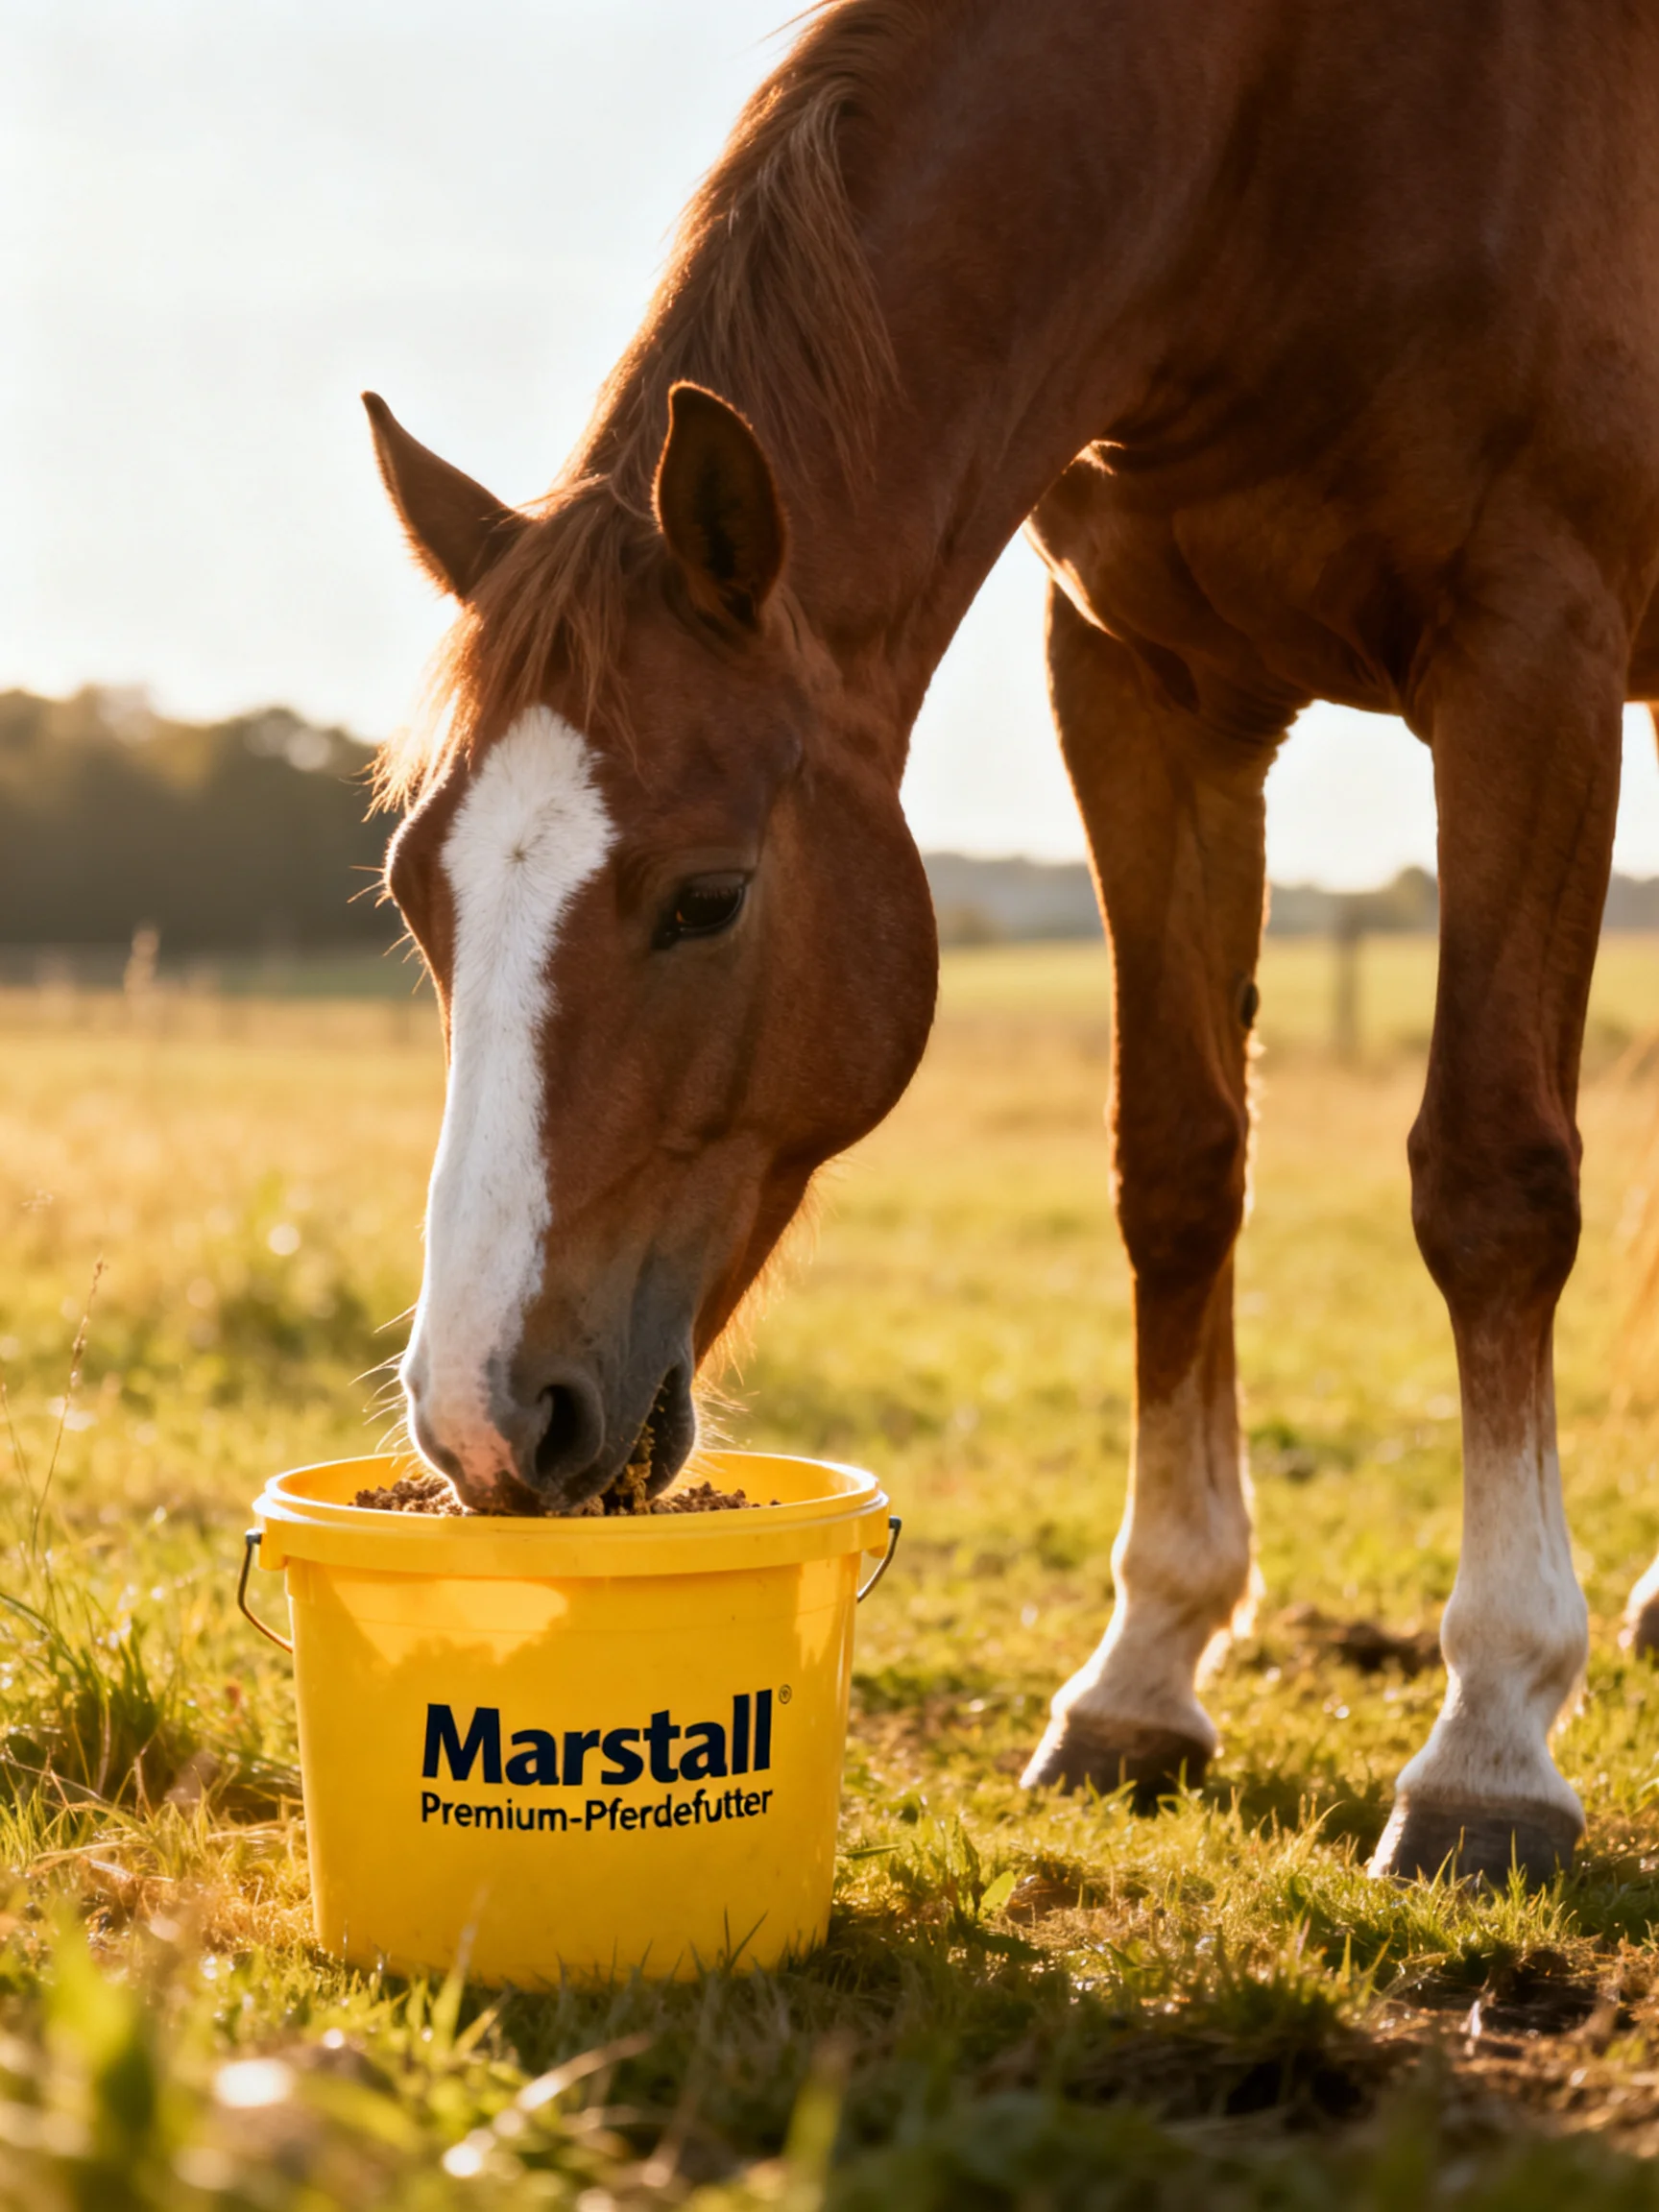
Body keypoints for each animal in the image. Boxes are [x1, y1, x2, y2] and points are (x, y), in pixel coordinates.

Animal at [364, 0, 1659, 1887]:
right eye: (418, 893)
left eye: (709, 897)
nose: (477, 1415)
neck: (1287, 136)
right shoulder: (1141, 683)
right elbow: (1176, 1164)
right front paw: (1143, 1671)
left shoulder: (1530, 654)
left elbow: (1492, 1183)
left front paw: (1490, 1735)